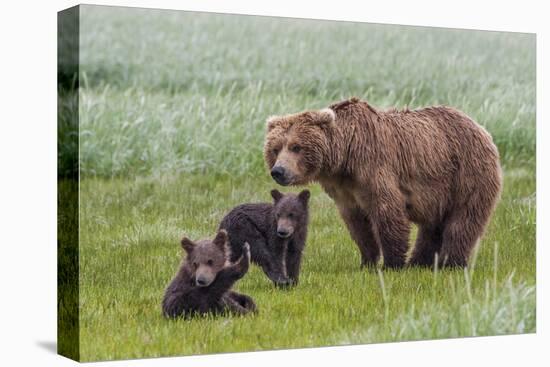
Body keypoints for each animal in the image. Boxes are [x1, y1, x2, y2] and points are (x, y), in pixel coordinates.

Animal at [266, 98, 502, 270]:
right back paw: (420, 262)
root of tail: (482, 128)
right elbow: (358, 225)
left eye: (296, 147)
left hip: (466, 173)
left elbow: (387, 212)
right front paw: (367, 261)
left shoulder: (373, 167)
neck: (344, 158)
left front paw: (392, 263)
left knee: (463, 219)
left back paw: (451, 262)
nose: (278, 171)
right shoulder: (344, 191)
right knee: (432, 225)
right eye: (275, 148)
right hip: (440, 191)